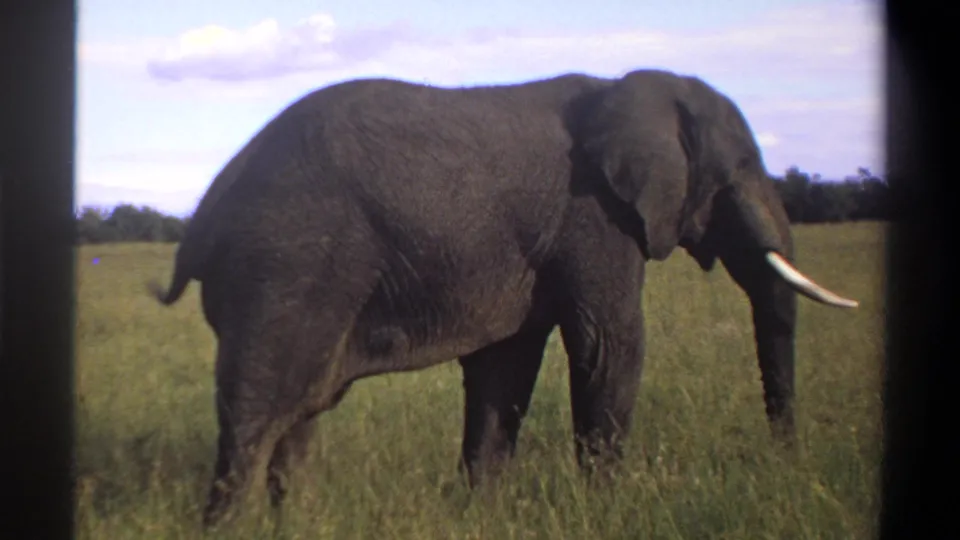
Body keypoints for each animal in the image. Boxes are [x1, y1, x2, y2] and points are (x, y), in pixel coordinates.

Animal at [150, 68, 858, 527]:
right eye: (742, 168)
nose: (787, 462)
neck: (631, 88)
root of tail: (207, 209)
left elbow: (506, 369)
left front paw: (481, 512)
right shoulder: (594, 217)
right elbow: (609, 346)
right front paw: (609, 511)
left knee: (299, 412)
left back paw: (295, 524)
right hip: (284, 264)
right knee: (258, 413)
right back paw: (229, 528)